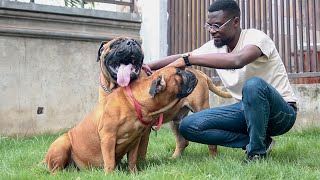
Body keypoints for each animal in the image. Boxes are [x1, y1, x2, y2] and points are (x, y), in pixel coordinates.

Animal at [43, 66, 199, 173]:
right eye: (178, 72)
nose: (191, 72)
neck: (136, 103)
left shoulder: (135, 140)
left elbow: (132, 159)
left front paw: (134, 173)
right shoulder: (108, 137)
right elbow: (110, 161)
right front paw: (110, 174)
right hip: (62, 143)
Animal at [96, 37, 231, 160]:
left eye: (137, 43)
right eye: (116, 43)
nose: (132, 43)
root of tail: (201, 73)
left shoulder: (144, 130)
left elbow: (141, 150)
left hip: (200, 107)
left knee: (210, 142)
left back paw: (212, 157)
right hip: (176, 119)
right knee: (182, 141)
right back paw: (175, 158)